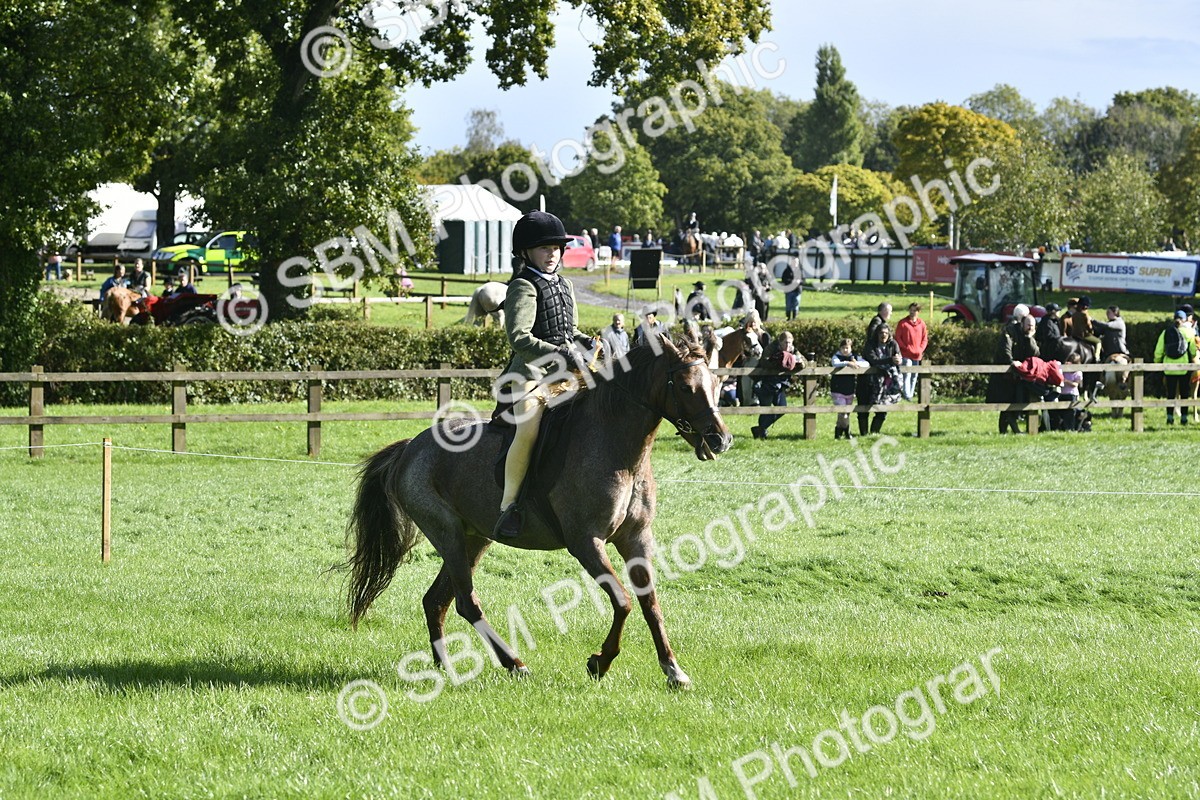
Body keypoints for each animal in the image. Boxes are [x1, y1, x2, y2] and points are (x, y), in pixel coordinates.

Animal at [345, 329, 732, 689]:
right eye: (685, 387)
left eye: (716, 383)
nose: (720, 440)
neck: (617, 448)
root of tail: (412, 445)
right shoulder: (585, 542)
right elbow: (623, 601)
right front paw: (600, 662)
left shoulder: (636, 539)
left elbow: (651, 604)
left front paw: (673, 670)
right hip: (447, 533)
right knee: (465, 602)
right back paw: (514, 664)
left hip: (474, 538)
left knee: (436, 600)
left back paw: (447, 668)